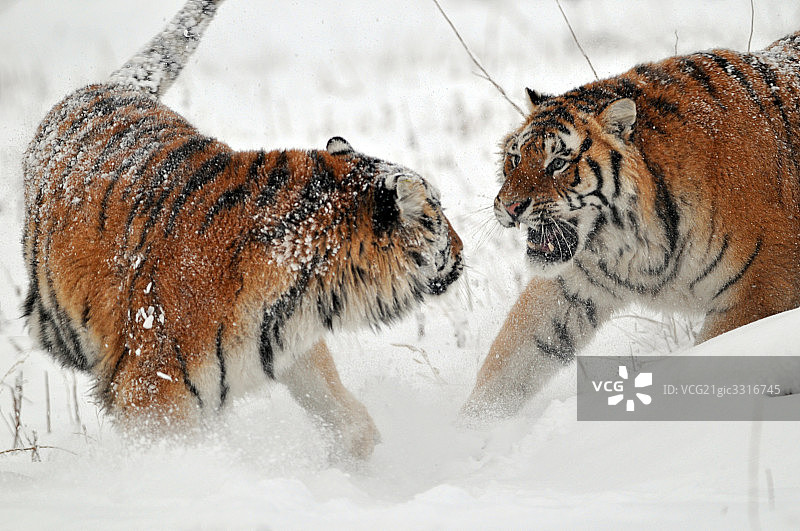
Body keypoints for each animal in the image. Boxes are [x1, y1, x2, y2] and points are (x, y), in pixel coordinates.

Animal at [22, 0, 463, 459]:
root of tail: (109, 87)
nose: (463, 248)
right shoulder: (154, 395)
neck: (310, 287)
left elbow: (339, 408)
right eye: (440, 213)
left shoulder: (287, 342)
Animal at [462, 30, 800, 417]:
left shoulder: (757, 294)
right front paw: (469, 426)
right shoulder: (573, 283)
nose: (511, 206)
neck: (633, 241)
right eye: (515, 158)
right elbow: (513, 355)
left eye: (558, 162)